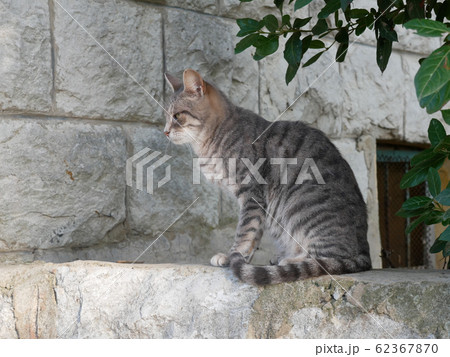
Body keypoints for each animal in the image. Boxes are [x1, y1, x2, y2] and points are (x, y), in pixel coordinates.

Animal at [163, 68, 370, 286]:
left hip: (301, 209)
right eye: (166, 116)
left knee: (326, 259)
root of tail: (365, 251)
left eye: (177, 116)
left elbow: (245, 231)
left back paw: (289, 259)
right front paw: (243, 258)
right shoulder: (255, 203)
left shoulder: (251, 194)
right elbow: (253, 234)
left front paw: (231, 256)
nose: (165, 131)